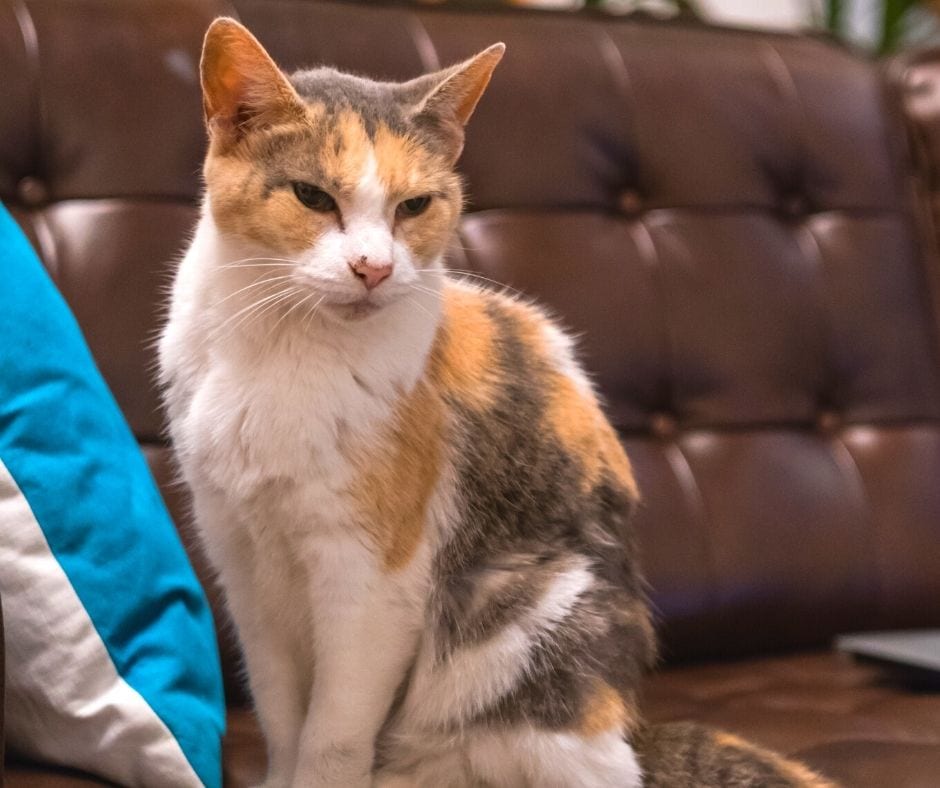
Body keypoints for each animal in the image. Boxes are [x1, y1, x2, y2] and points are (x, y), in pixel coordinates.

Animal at [160, 18, 836, 788]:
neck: (279, 349)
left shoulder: (370, 583)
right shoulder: (243, 562)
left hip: (525, 625)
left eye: (414, 206)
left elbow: (330, 739)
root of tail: (634, 726)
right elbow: (281, 719)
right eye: (312, 196)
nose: (373, 269)